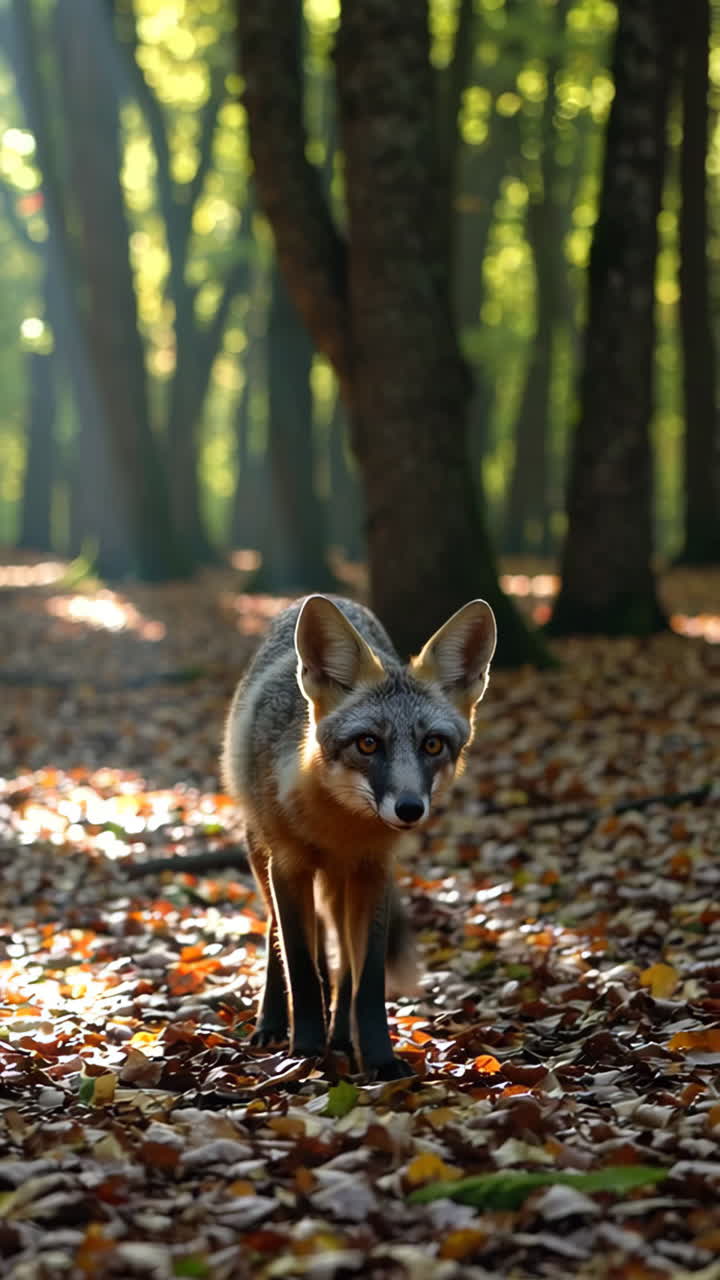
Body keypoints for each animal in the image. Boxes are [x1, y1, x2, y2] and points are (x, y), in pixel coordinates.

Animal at [222, 593, 497, 1080]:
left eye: (432, 745)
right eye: (367, 744)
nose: (409, 809)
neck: (338, 827)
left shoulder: (372, 871)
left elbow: (365, 980)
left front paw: (379, 1059)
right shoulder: (288, 866)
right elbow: (300, 966)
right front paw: (304, 1054)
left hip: (341, 885)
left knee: (341, 961)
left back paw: (340, 1038)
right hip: (261, 857)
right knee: (280, 935)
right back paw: (274, 1024)